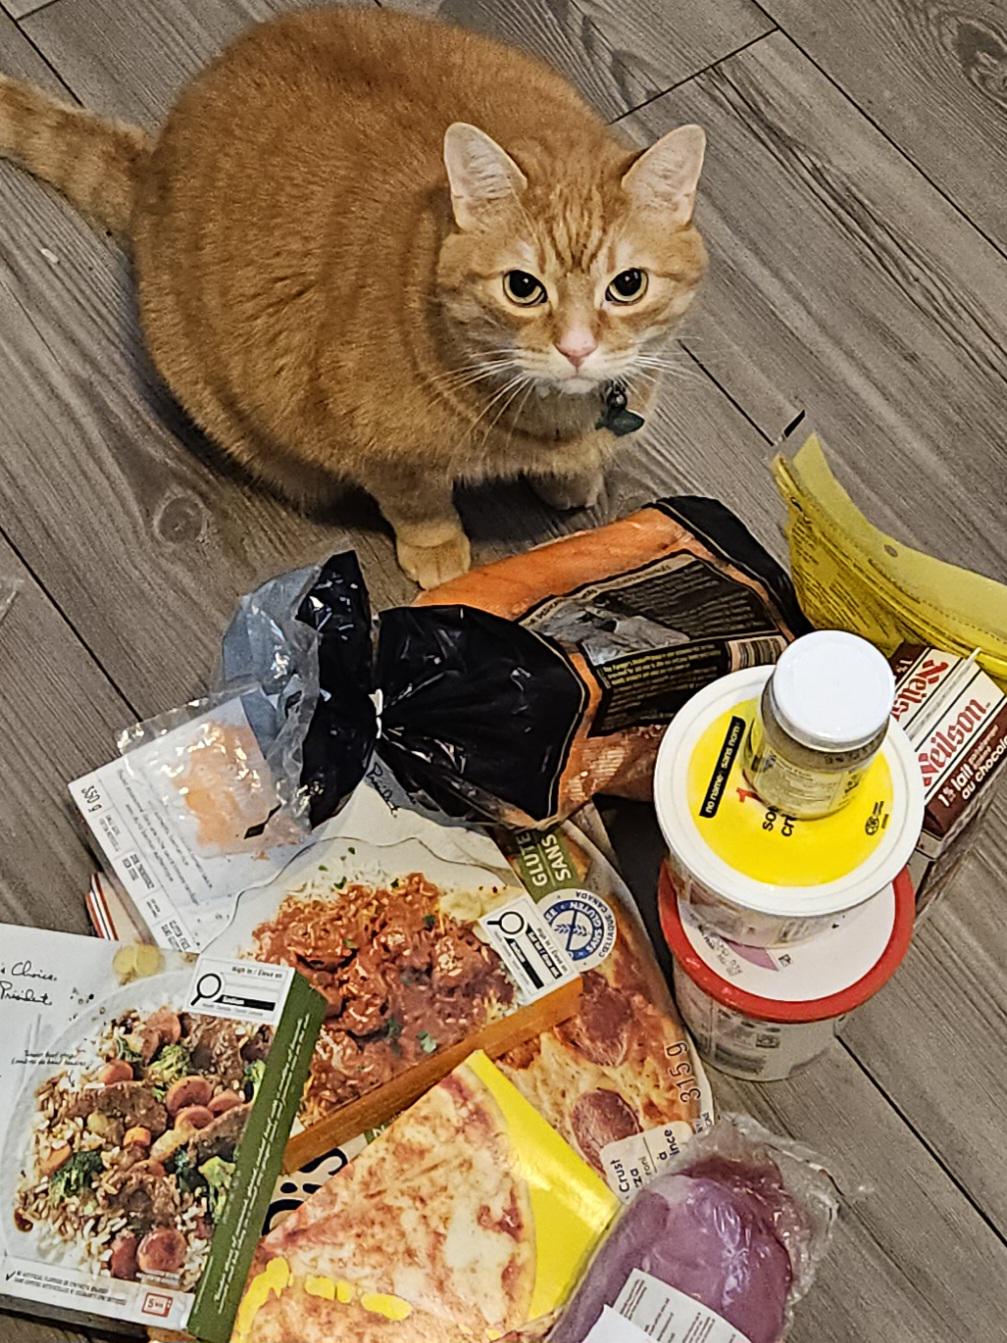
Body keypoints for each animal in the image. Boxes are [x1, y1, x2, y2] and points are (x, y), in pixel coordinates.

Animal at [0, 6, 707, 588]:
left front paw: (576, 479)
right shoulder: (376, 448)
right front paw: (439, 553)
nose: (577, 349)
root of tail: (153, 169)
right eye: (523, 288)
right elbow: (418, 504)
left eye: (627, 286)